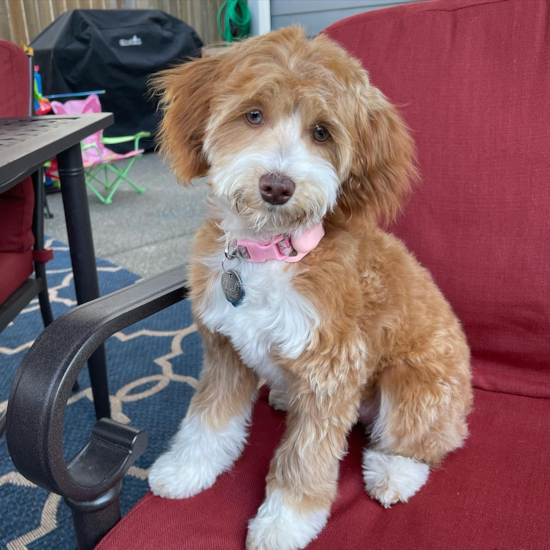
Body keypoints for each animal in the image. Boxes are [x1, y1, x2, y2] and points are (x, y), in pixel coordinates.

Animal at [150, 25, 474, 550]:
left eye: (322, 132)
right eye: (254, 114)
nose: (277, 186)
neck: (271, 253)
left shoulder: (331, 372)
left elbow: (303, 460)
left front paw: (283, 523)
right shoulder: (225, 349)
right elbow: (207, 421)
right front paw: (185, 470)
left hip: (414, 385)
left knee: (422, 442)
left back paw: (394, 473)